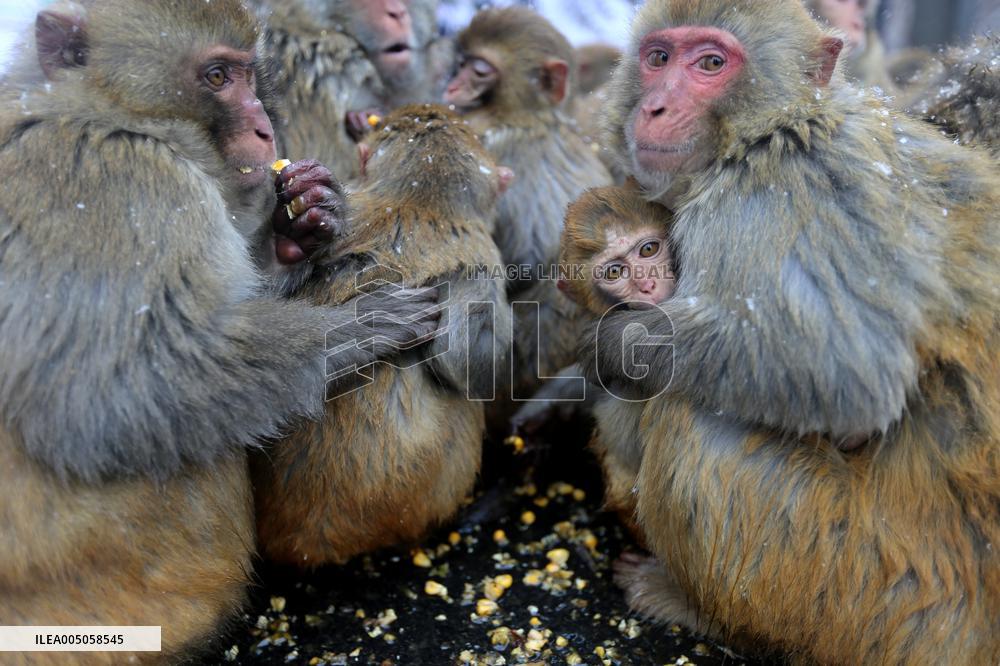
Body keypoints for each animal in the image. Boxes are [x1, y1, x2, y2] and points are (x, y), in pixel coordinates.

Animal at [443, 7, 612, 428]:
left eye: (480, 70)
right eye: (461, 63)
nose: (453, 86)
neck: (532, 117)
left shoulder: (490, 143)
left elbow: (521, 262)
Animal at [581, 0, 1000, 662]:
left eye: (710, 64)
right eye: (658, 58)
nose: (654, 108)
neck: (779, 124)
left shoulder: (774, 191)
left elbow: (851, 373)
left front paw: (615, 346)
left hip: (866, 587)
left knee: (695, 422)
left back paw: (703, 613)